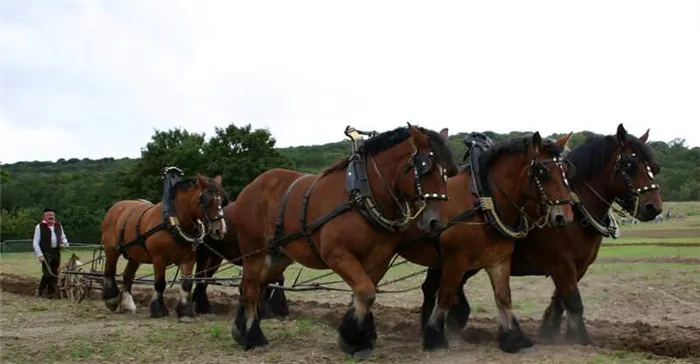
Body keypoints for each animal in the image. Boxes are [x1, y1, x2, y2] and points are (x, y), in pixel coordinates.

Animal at [100, 167, 227, 322]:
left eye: (222, 201)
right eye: (206, 201)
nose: (220, 230)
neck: (173, 221)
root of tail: (115, 207)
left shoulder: (188, 259)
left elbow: (187, 283)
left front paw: (185, 312)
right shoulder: (159, 258)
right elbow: (160, 283)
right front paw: (158, 310)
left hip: (135, 256)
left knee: (127, 276)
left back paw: (127, 305)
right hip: (111, 250)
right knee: (110, 271)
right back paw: (111, 299)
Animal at [231, 124, 460, 358]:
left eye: (448, 173)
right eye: (425, 169)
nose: (437, 222)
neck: (363, 195)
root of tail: (253, 185)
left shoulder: (379, 259)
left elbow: (363, 294)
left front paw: (357, 340)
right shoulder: (337, 254)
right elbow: (365, 292)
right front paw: (353, 340)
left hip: (279, 255)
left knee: (255, 285)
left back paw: (241, 331)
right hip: (254, 250)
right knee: (250, 287)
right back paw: (254, 337)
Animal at [396, 131, 576, 352]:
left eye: (565, 170)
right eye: (543, 172)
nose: (565, 216)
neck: (485, 201)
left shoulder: (498, 259)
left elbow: (503, 297)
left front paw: (513, 338)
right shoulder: (455, 260)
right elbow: (446, 295)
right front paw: (435, 337)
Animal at [434, 122, 664, 344]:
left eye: (654, 167)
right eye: (630, 165)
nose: (654, 208)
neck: (577, 211)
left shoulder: (579, 267)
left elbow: (561, 301)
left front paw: (552, 332)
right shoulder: (561, 264)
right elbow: (574, 302)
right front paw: (581, 339)